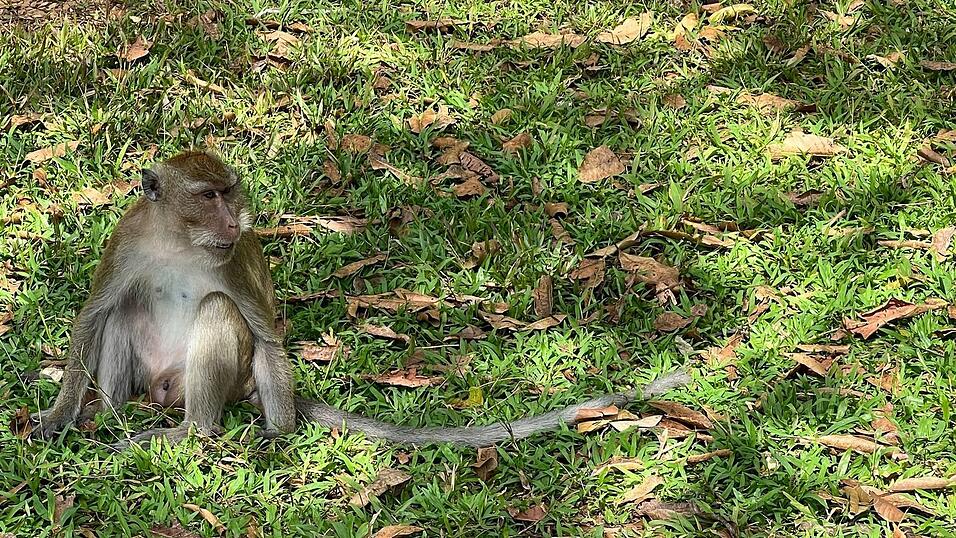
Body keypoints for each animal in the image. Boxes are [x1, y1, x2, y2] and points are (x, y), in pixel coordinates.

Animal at [30, 150, 691, 449]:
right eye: (208, 195)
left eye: (228, 192)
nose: (236, 217)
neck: (177, 239)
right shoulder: (129, 240)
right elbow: (94, 314)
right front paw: (57, 417)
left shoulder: (231, 256)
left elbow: (264, 332)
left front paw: (279, 433)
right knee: (123, 312)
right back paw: (111, 414)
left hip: (223, 380)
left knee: (220, 317)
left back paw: (192, 431)